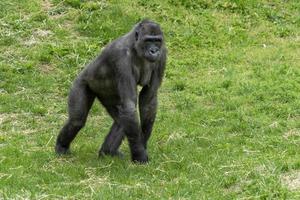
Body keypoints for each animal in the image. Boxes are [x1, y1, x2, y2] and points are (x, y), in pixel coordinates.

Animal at [55, 19, 168, 163]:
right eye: (148, 40)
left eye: (157, 41)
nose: (154, 51)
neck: (135, 46)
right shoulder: (121, 58)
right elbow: (130, 105)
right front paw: (140, 155)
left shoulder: (163, 54)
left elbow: (148, 99)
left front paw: (143, 144)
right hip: (80, 82)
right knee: (76, 121)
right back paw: (61, 147)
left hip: (109, 96)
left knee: (121, 120)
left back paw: (107, 152)